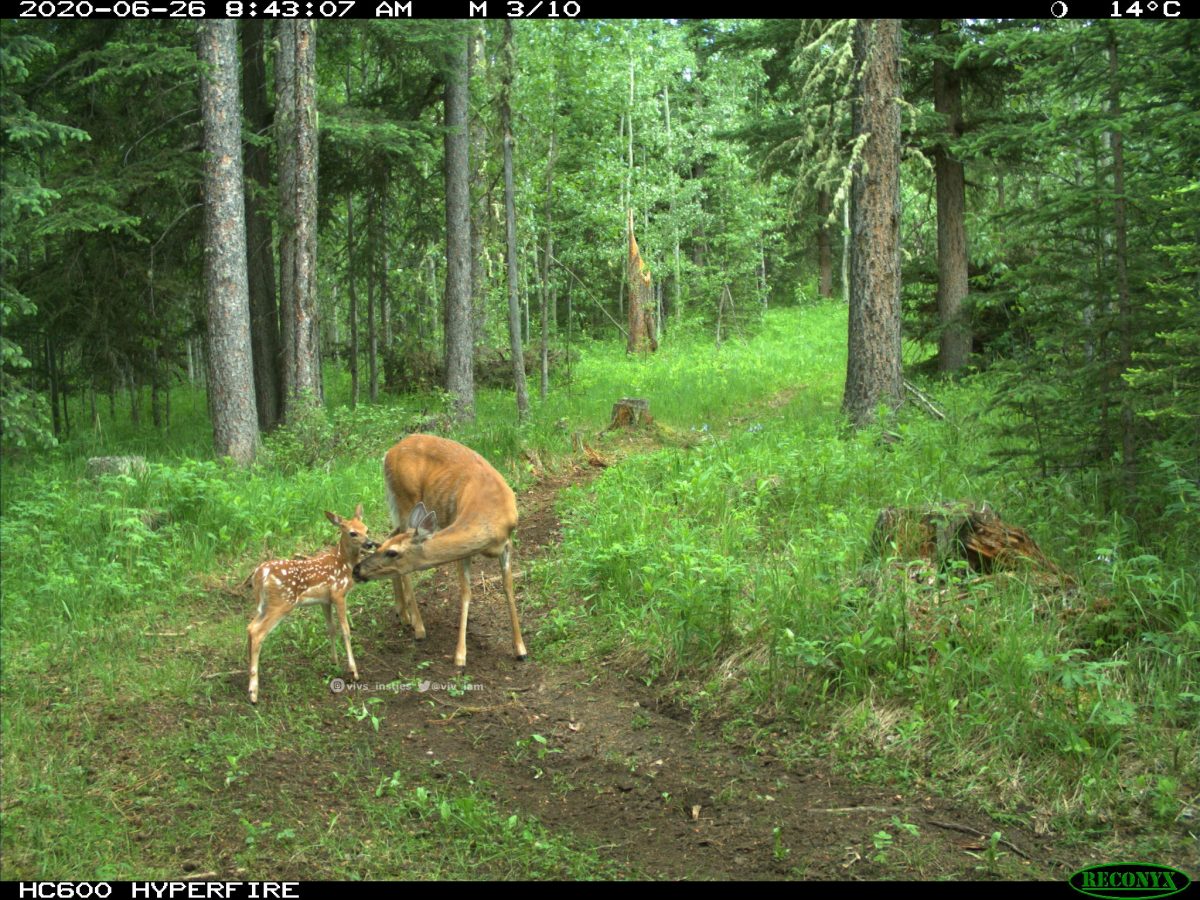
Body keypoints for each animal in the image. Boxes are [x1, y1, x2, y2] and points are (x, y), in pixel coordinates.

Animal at [247, 505, 378, 704]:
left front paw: (334, 661)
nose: (370, 543)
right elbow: (346, 630)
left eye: (367, 529)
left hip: (263, 605)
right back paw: (253, 692)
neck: (344, 564)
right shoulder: (339, 594)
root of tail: (259, 574)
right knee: (257, 632)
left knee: (249, 626)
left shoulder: (325, 600)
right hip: (282, 603)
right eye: (353, 533)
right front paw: (354, 671)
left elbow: (331, 628)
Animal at [351, 434, 527, 668]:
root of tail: (388, 453)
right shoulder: (463, 550)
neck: (490, 514)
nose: (357, 570)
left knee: (391, 534)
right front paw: (460, 656)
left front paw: (520, 648)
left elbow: (508, 587)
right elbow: (466, 592)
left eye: (392, 553)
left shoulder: (508, 542)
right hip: (404, 498)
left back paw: (403, 613)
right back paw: (418, 627)